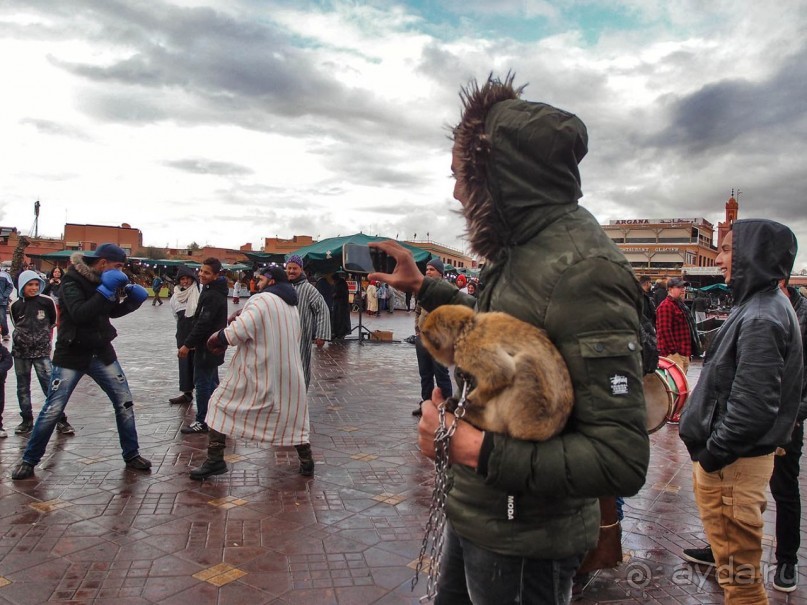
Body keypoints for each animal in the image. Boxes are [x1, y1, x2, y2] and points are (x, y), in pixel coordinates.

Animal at [420, 306, 576, 438]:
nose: (433, 355)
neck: (467, 327)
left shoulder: (469, 348)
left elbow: (502, 373)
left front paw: (467, 402)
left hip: (530, 422)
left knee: (525, 364)